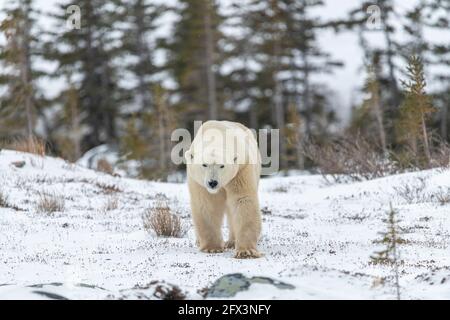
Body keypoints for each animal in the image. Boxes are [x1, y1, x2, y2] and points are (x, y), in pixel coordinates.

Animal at [185, 120, 262, 258]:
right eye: (204, 164)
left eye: (222, 166)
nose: (212, 182)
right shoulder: (197, 181)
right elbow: (207, 205)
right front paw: (212, 248)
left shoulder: (240, 170)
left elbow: (243, 199)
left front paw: (246, 251)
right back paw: (199, 241)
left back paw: (231, 242)